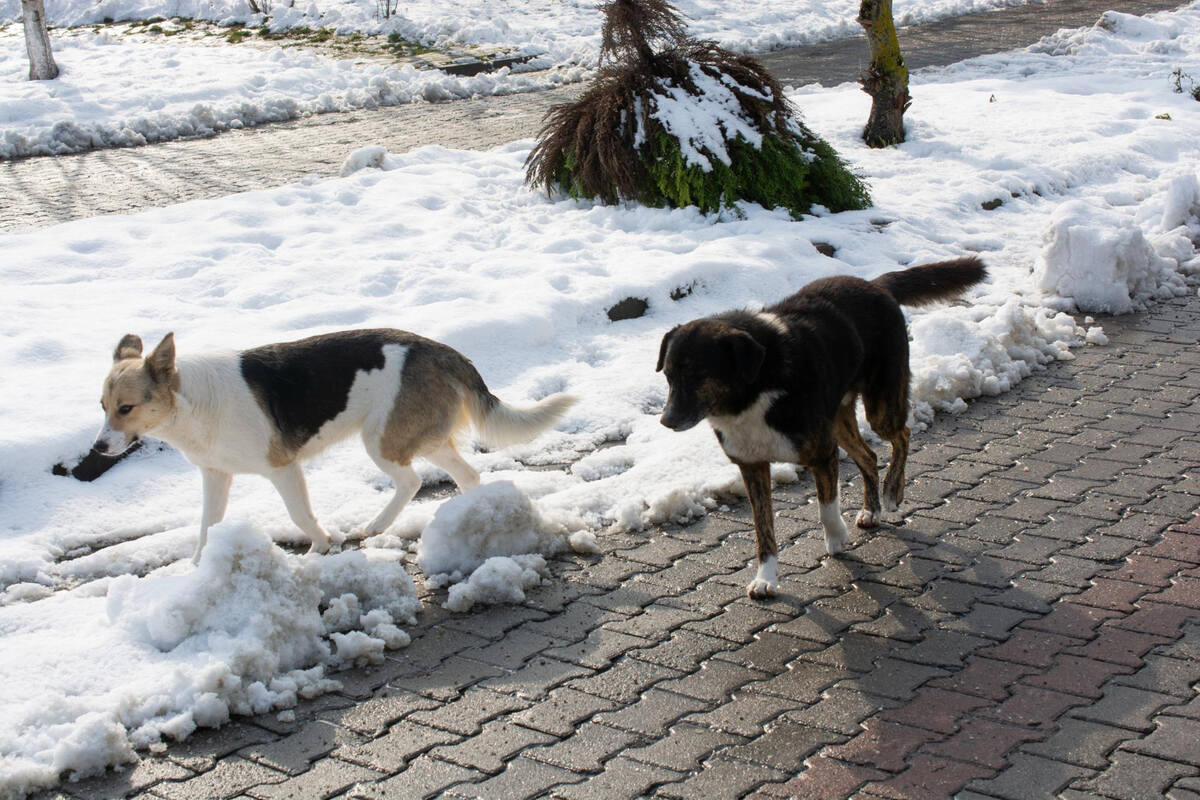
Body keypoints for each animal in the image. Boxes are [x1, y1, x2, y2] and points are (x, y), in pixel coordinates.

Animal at [96, 331, 573, 563]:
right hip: (419, 437)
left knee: (411, 480)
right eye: (102, 407)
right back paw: (471, 517)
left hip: (381, 440)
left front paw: (322, 546)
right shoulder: (216, 476)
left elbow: (300, 515)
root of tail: (443, 350)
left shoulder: (283, 469)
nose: (99, 448)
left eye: (126, 407)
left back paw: (377, 525)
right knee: (467, 475)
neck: (191, 403)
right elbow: (206, 528)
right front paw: (197, 567)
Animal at [657, 255, 984, 594]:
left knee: (902, 435)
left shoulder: (823, 454)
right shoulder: (752, 466)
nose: (666, 420)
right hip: (838, 420)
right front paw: (766, 577)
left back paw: (892, 492)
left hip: (880, 407)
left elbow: (826, 507)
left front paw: (836, 538)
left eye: (699, 375)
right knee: (870, 456)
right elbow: (763, 529)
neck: (755, 390)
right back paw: (871, 509)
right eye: (668, 375)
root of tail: (875, 285)